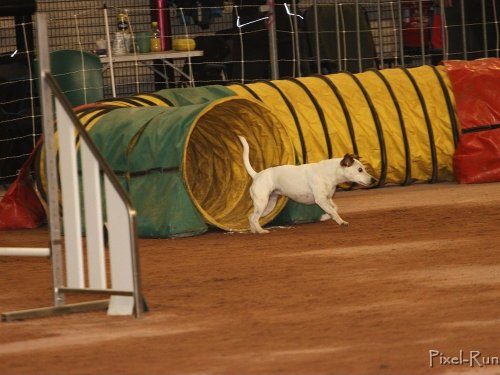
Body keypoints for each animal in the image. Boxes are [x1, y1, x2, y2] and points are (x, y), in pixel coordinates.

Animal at [237, 137, 376, 234]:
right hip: (262, 202)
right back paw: (261, 231)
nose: (373, 180)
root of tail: (256, 175)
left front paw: (327, 216)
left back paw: (254, 231)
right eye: (360, 170)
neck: (329, 173)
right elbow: (333, 210)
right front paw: (341, 222)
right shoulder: (320, 200)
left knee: (251, 216)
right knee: (254, 218)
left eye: (363, 169)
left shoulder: (327, 199)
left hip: (269, 205)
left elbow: (334, 209)